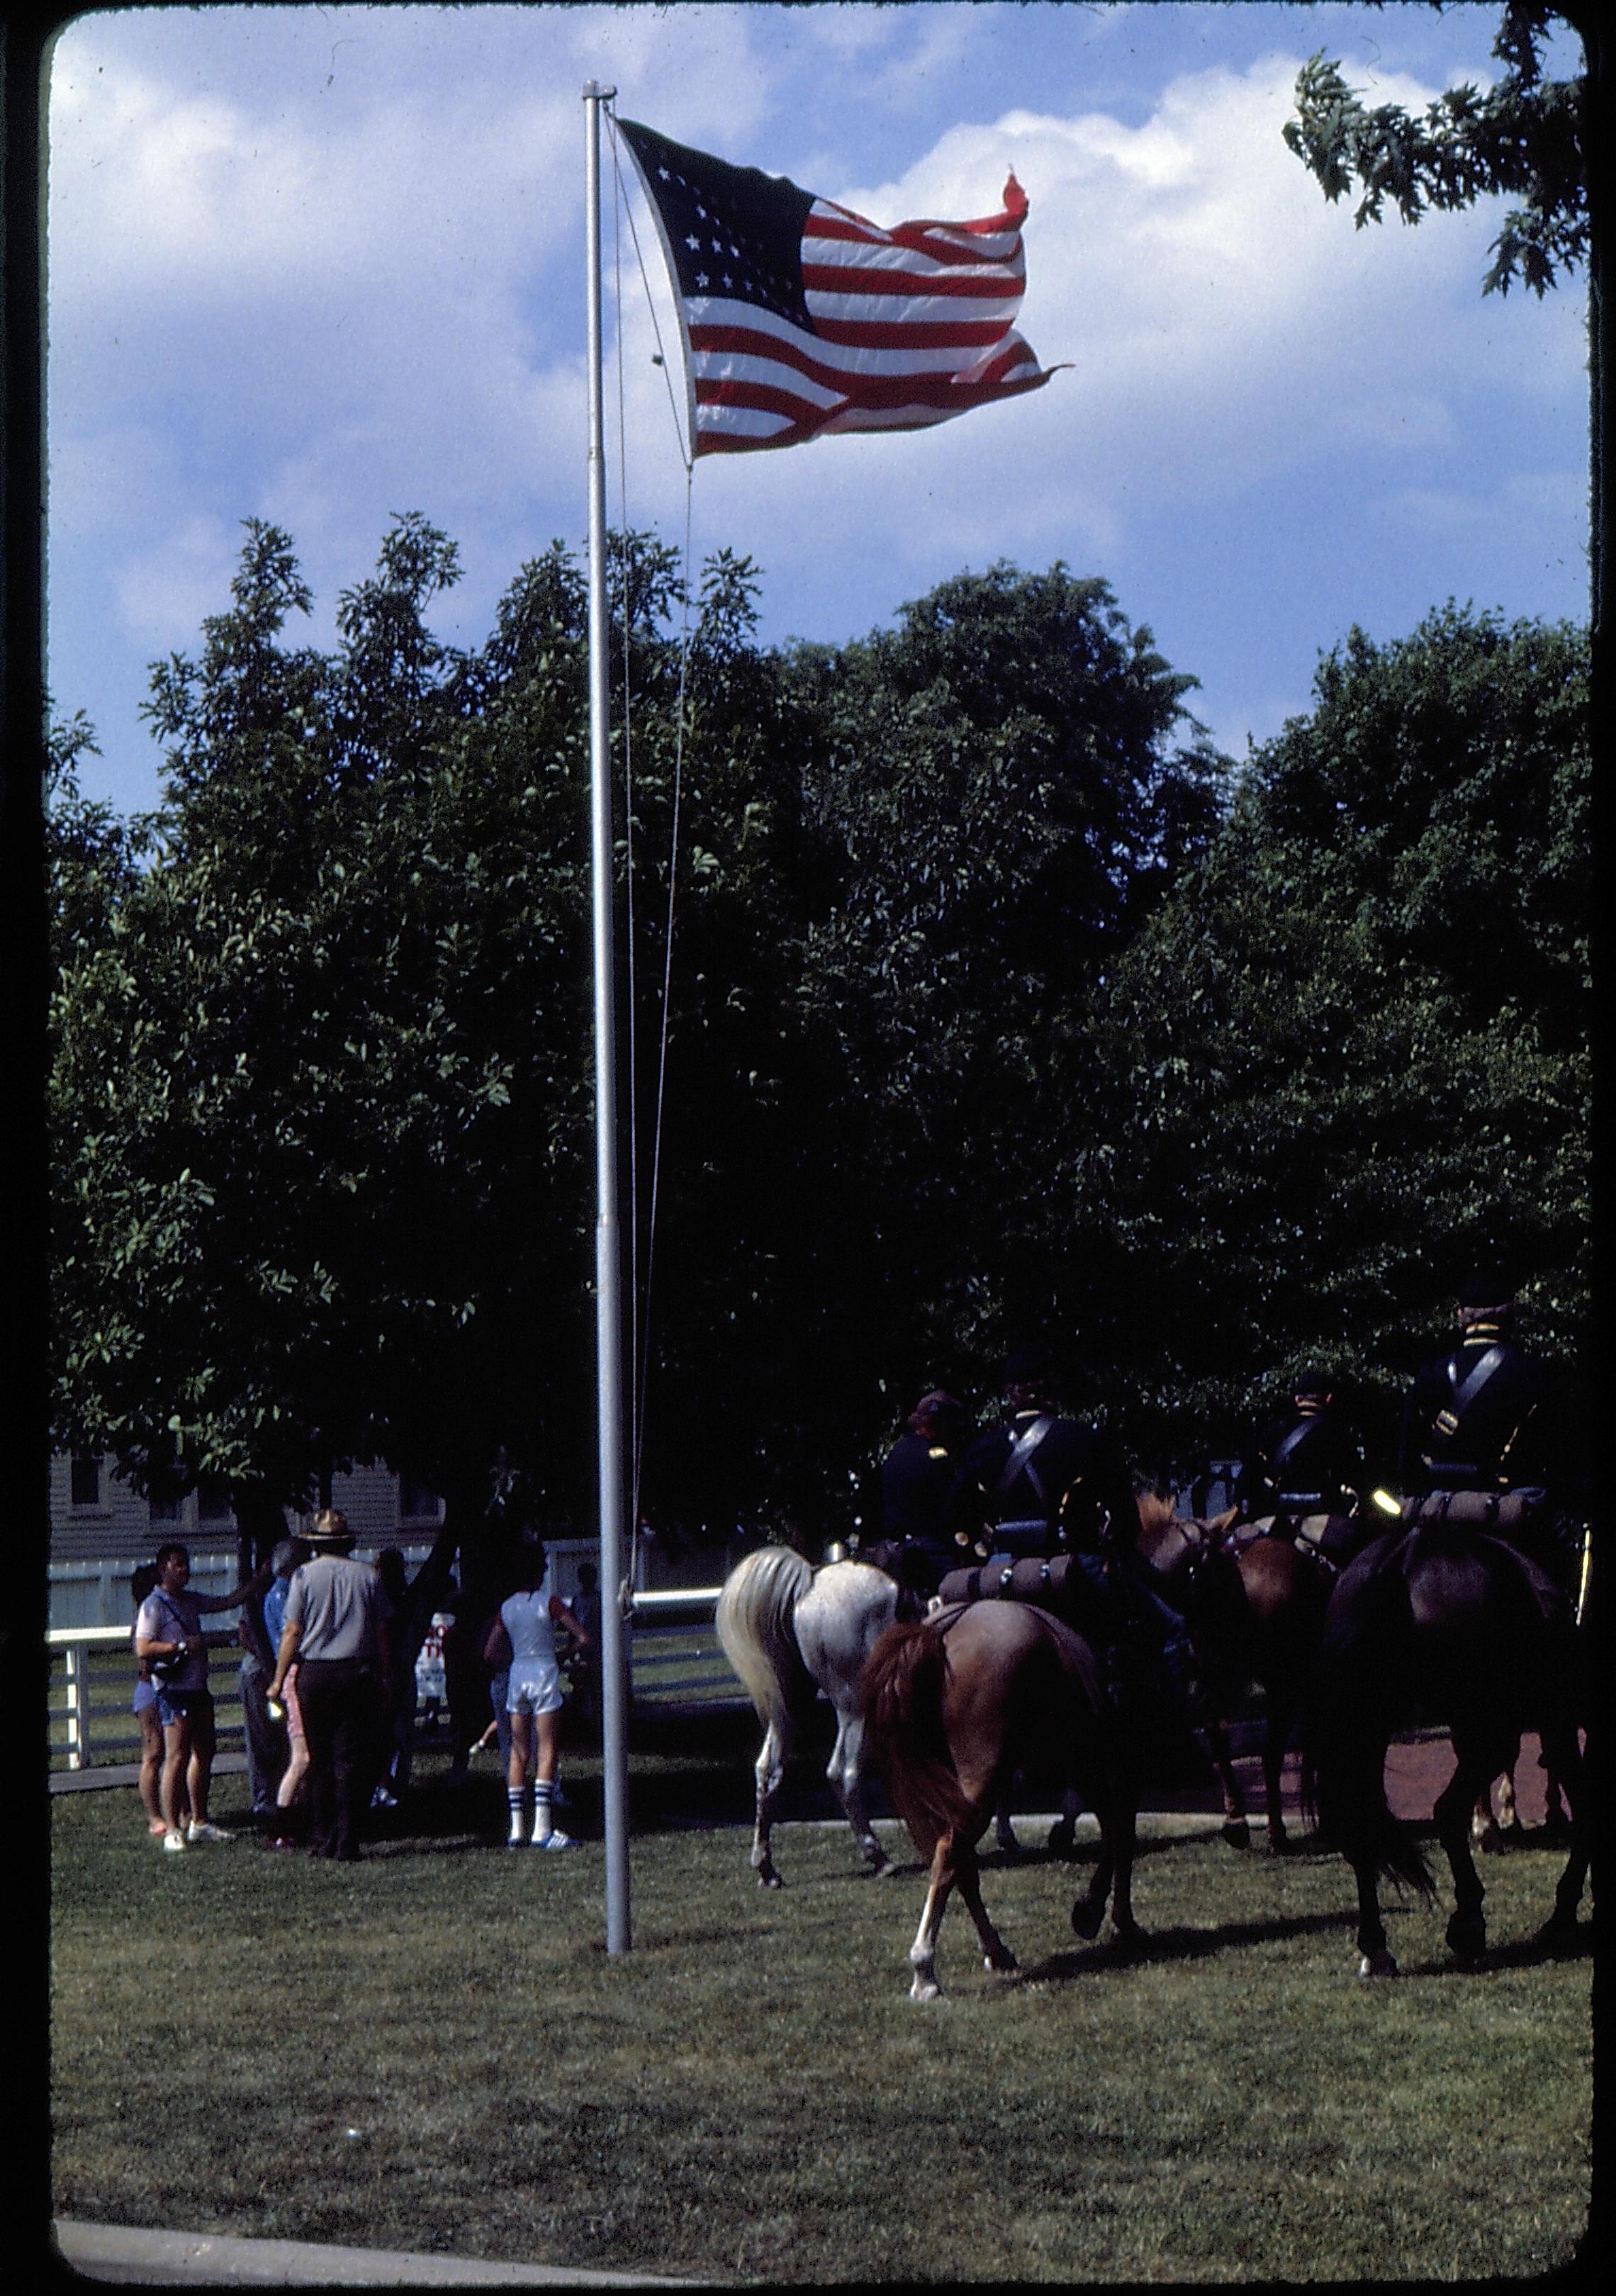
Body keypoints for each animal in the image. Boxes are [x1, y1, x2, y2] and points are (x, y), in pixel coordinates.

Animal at [716, 1543, 904, 1882]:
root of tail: (810, 1581)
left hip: (790, 1703)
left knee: (768, 1770)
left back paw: (766, 1866)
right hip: (855, 1706)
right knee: (843, 1773)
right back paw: (878, 1856)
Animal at [858, 1598, 1138, 1993]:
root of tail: (937, 1634)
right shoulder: (1098, 1769)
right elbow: (1120, 1832)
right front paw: (1103, 1913)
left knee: (961, 1865)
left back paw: (995, 1950)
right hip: (982, 1788)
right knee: (950, 1857)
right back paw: (925, 1969)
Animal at [1303, 1524, 1588, 1974]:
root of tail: (1402, 1560)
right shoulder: (1556, 1721)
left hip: (1369, 1734)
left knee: (1363, 1826)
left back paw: (1376, 1947)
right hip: (1494, 1728)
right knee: (1448, 1808)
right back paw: (1469, 1921)